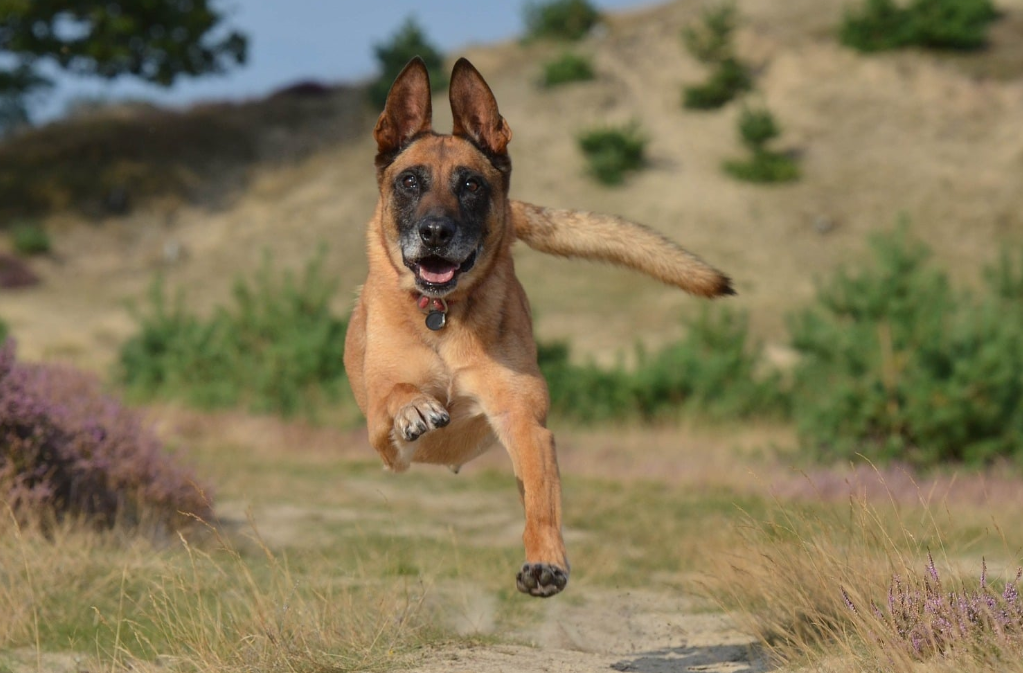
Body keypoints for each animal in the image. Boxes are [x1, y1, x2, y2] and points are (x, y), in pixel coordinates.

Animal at [345, 54, 736, 593]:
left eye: (471, 184)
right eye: (410, 182)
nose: (436, 233)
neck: (442, 316)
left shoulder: (524, 422)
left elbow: (541, 502)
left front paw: (545, 561)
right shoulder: (382, 438)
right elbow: (397, 393)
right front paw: (416, 407)